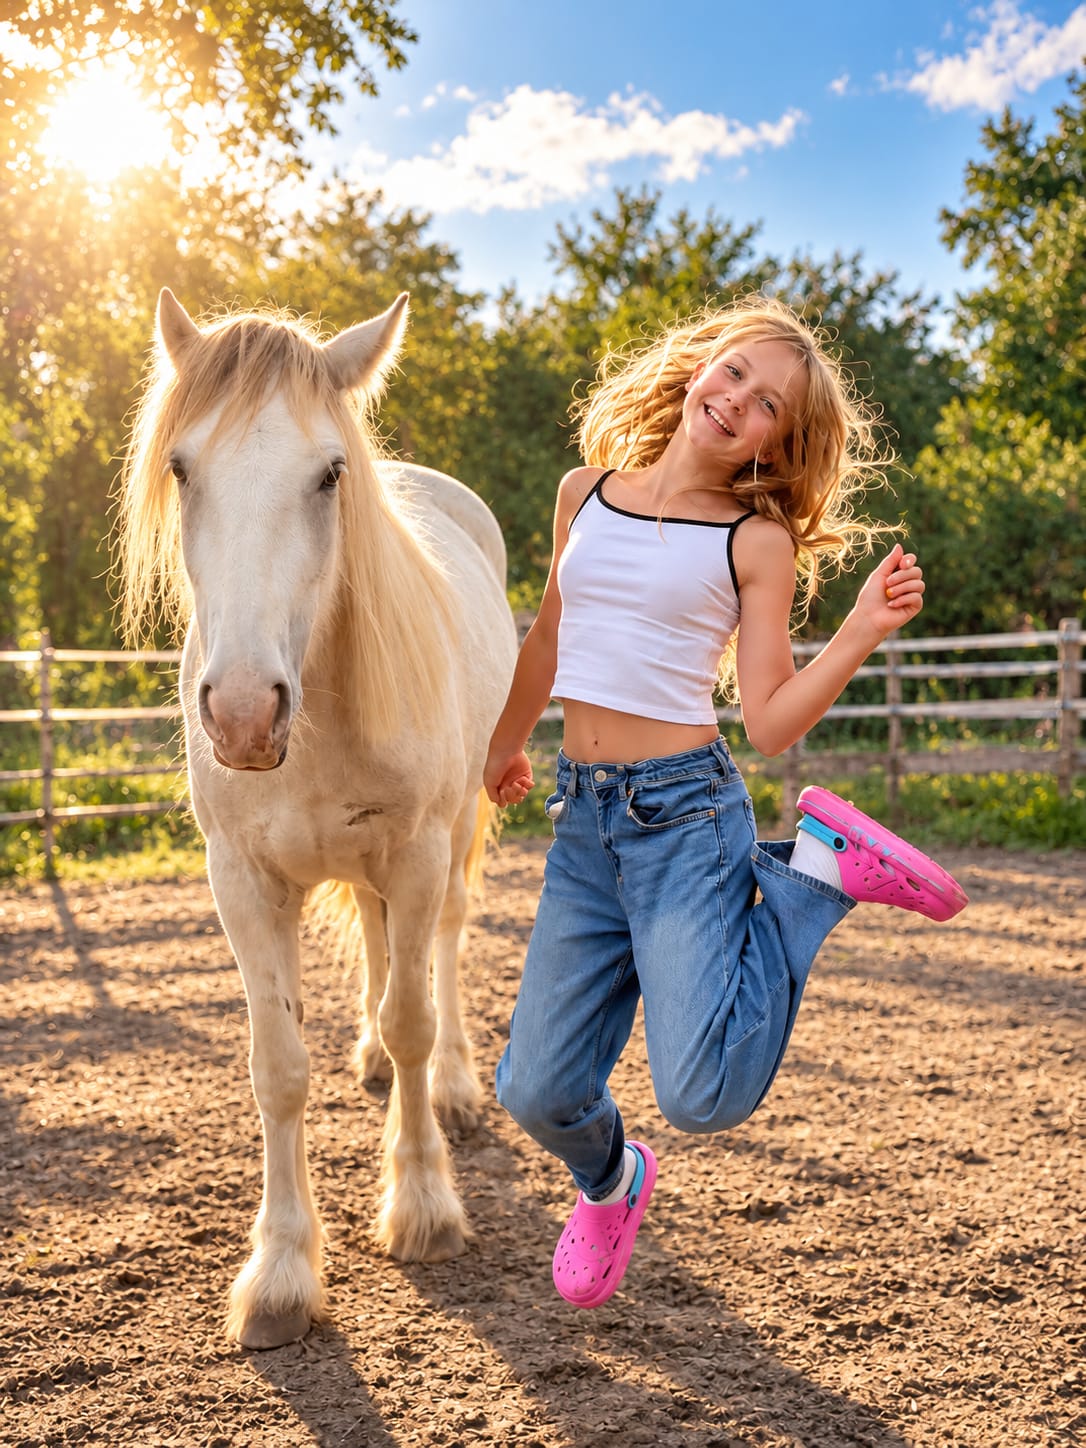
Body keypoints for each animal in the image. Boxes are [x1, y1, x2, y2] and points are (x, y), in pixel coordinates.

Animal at [116, 288, 518, 1349]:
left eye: (329, 473)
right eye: (183, 467)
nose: (242, 713)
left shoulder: (417, 852)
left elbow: (416, 1016)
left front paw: (423, 1208)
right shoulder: (243, 882)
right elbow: (279, 1067)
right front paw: (283, 1273)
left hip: (451, 838)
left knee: (441, 948)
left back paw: (452, 1087)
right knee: (380, 951)